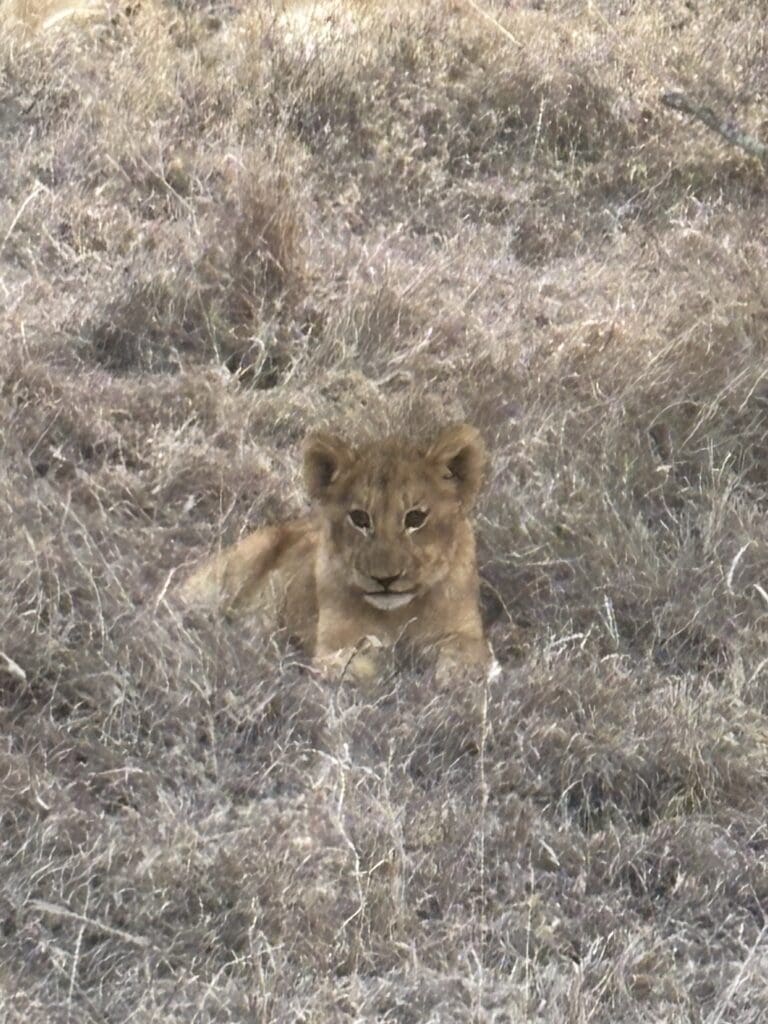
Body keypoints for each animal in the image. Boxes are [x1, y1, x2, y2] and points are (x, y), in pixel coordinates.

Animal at [180, 424, 491, 680]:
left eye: (415, 518)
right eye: (360, 518)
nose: (385, 580)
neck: (397, 614)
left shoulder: (466, 635)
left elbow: (462, 665)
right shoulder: (333, 643)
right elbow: (355, 669)